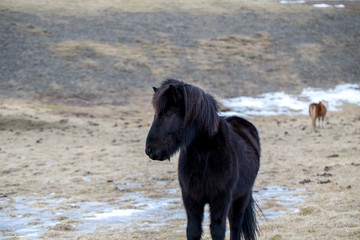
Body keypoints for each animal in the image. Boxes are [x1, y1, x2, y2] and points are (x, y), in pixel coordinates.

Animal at [145, 80, 260, 240]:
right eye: (156, 114)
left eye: (169, 114)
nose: (150, 150)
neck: (204, 157)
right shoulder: (191, 200)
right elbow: (193, 230)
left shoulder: (220, 200)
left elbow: (217, 230)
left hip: (241, 198)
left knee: (235, 226)